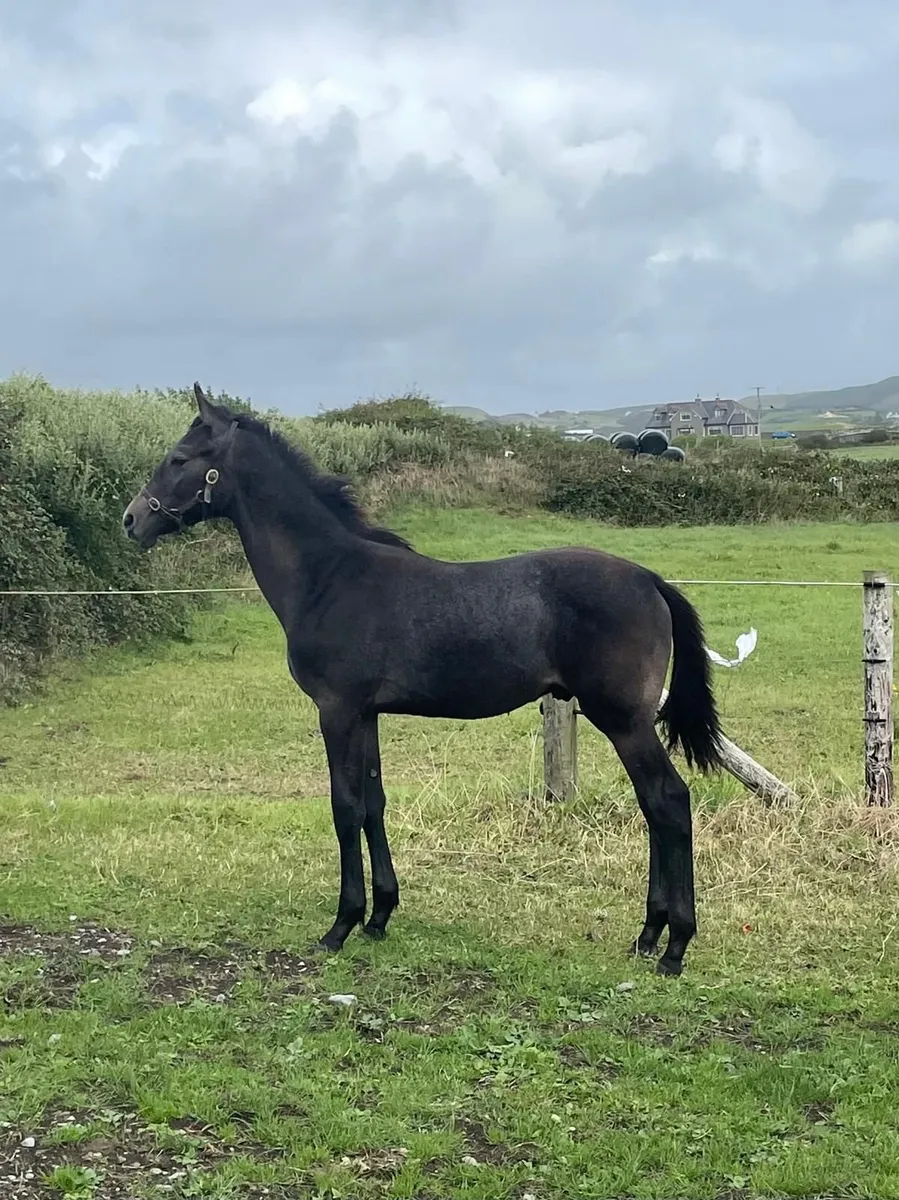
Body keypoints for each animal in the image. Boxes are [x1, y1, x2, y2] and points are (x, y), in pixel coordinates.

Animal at [123, 384, 723, 976]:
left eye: (179, 459)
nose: (130, 520)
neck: (329, 578)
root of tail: (649, 579)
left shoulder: (336, 711)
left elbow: (344, 807)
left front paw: (340, 926)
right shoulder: (365, 714)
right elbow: (373, 802)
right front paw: (379, 917)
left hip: (623, 721)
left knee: (668, 801)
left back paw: (674, 947)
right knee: (653, 807)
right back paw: (647, 936)